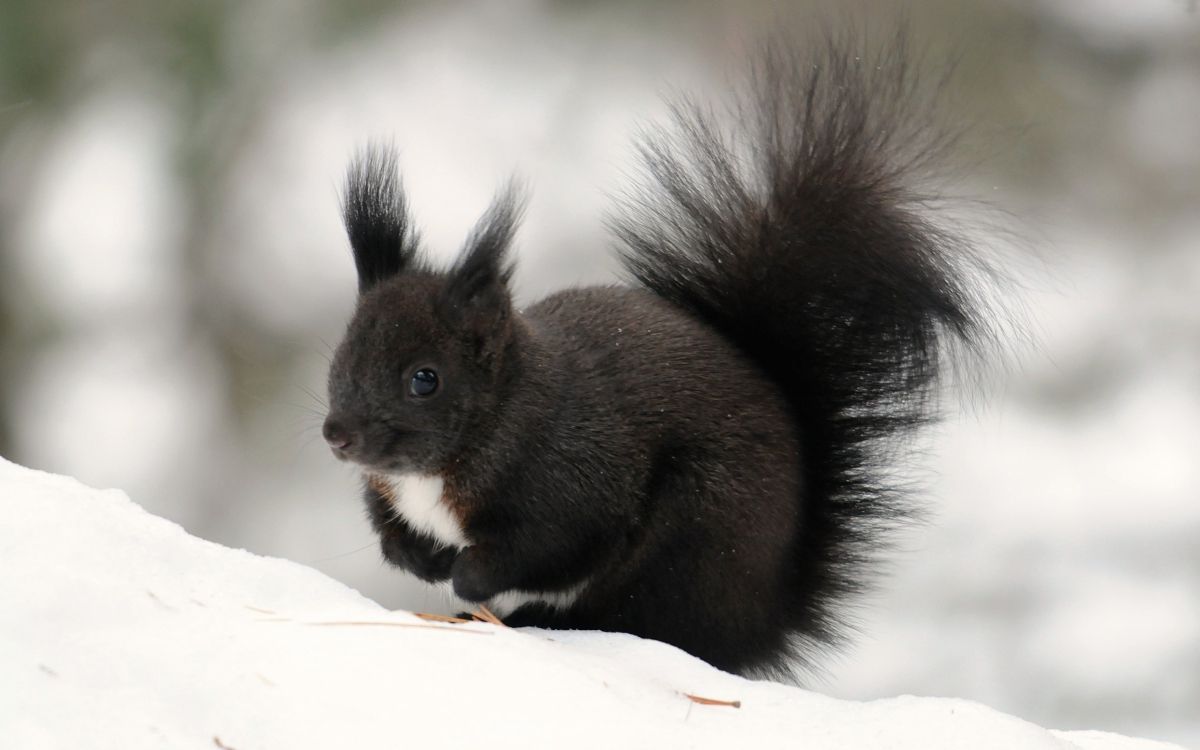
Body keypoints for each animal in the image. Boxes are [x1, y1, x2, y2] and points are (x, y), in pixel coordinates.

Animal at [316, 32, 993, 676]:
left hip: (690, 540)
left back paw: (539, 618)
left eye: (424, 379)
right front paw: (418, 558)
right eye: (341, 357)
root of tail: (765, 618)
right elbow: (391, 533)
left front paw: (466, 576)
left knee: (642, 620)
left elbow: (545, 549)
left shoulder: (576, 483)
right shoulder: (391, 493)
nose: (337, 436)